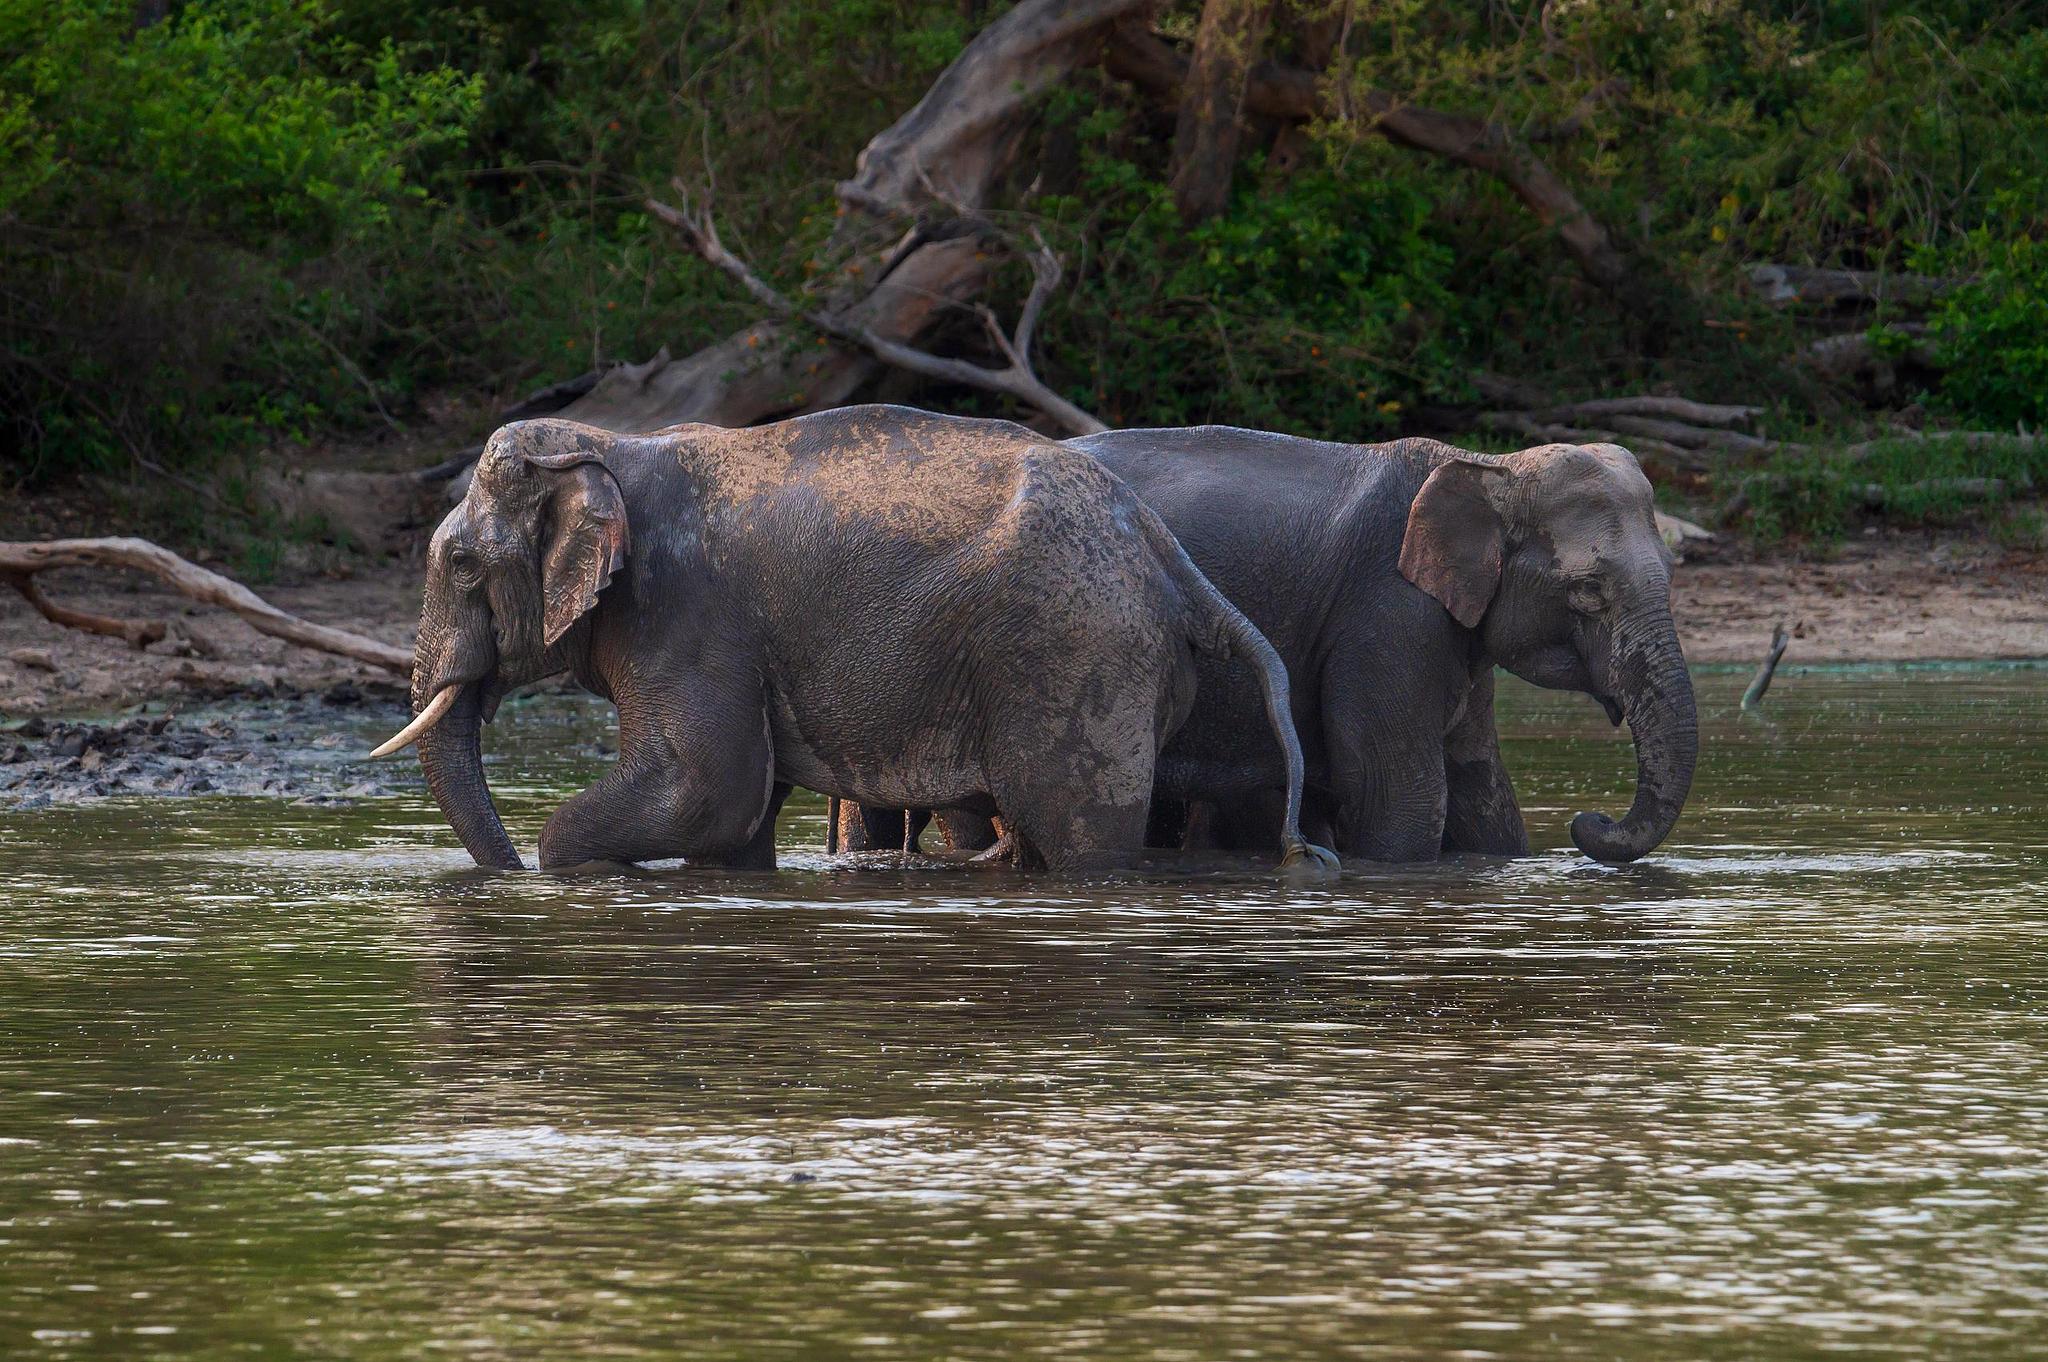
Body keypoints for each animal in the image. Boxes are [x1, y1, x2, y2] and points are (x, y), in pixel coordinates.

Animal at [370, 406, 1338, 875]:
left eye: (458, 562)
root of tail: (1167, 554)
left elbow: (706, 788)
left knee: (1080, 834)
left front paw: (569, 869)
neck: (617, 443)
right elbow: (733, 820)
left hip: (1080, 658)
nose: (502, 883)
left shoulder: (684, 609)